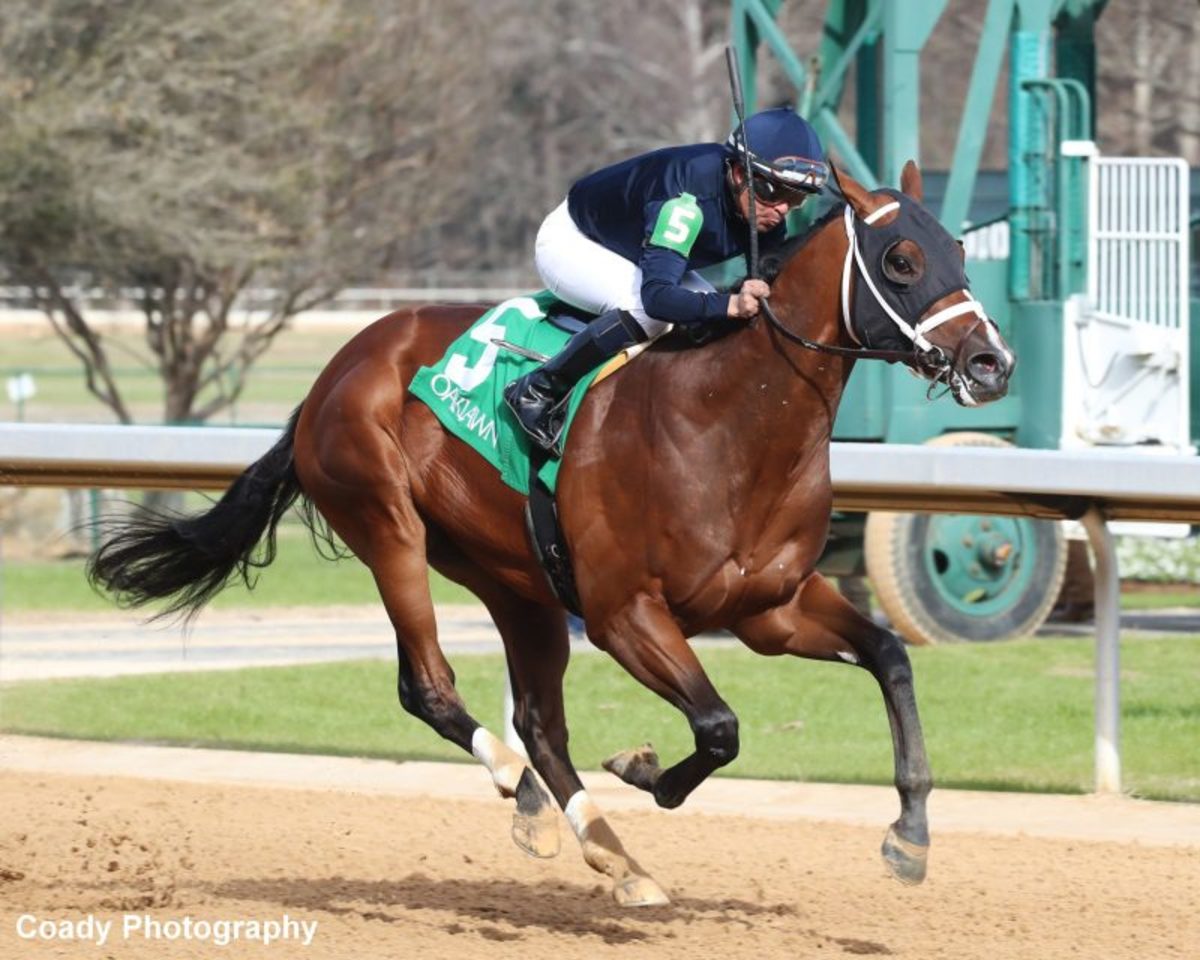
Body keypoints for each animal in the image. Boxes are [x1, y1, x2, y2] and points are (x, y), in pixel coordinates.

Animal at [91, 165, 1012, 907]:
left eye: (960, 252)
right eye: (901, 260)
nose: (991, 363)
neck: (729, 422)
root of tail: (335, 371)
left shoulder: (771, 609)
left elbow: (889, 657)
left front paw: (910, 837)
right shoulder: (624, 612)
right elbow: (719, 726)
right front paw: (645, 770)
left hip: (516, 580)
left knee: (539, 721)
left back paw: (607, 851)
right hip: (386, 524)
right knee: (428, 687)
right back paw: (524, 791)